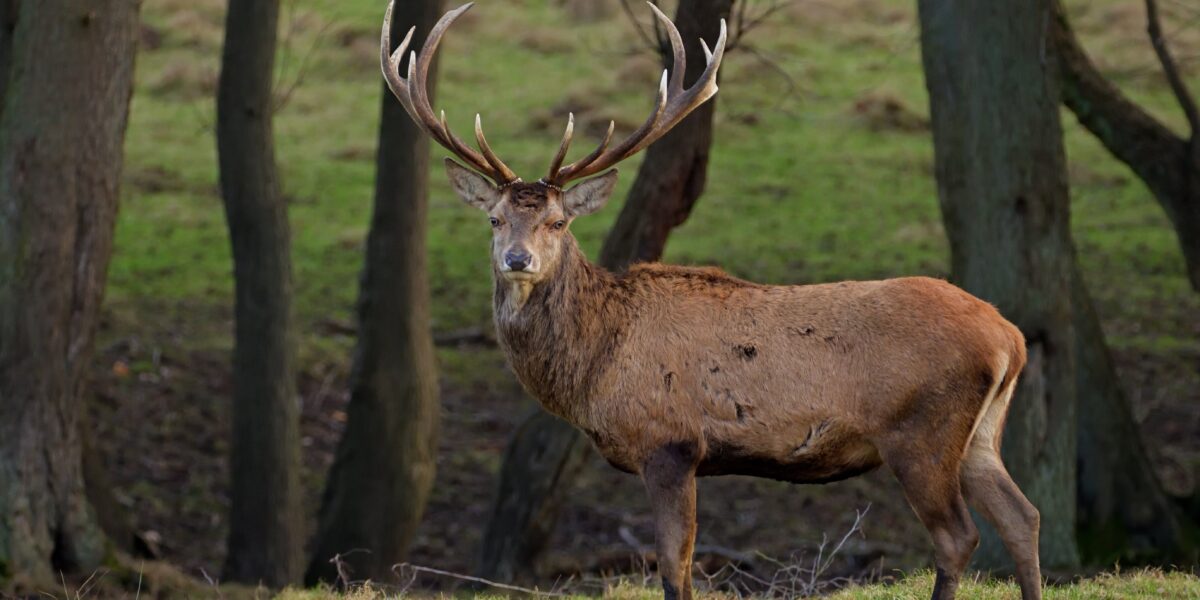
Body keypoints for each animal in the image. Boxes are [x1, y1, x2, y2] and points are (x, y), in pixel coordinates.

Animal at [380, 3, 1042, 599]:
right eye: (494, 220)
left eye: (558, 222)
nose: (517, 260)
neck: (596, 365)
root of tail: (1010, 338)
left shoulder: (670, 443)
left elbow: (676, 570)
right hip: (980, 434)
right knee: (1023, 516)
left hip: (920, 430)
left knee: (959, 536)